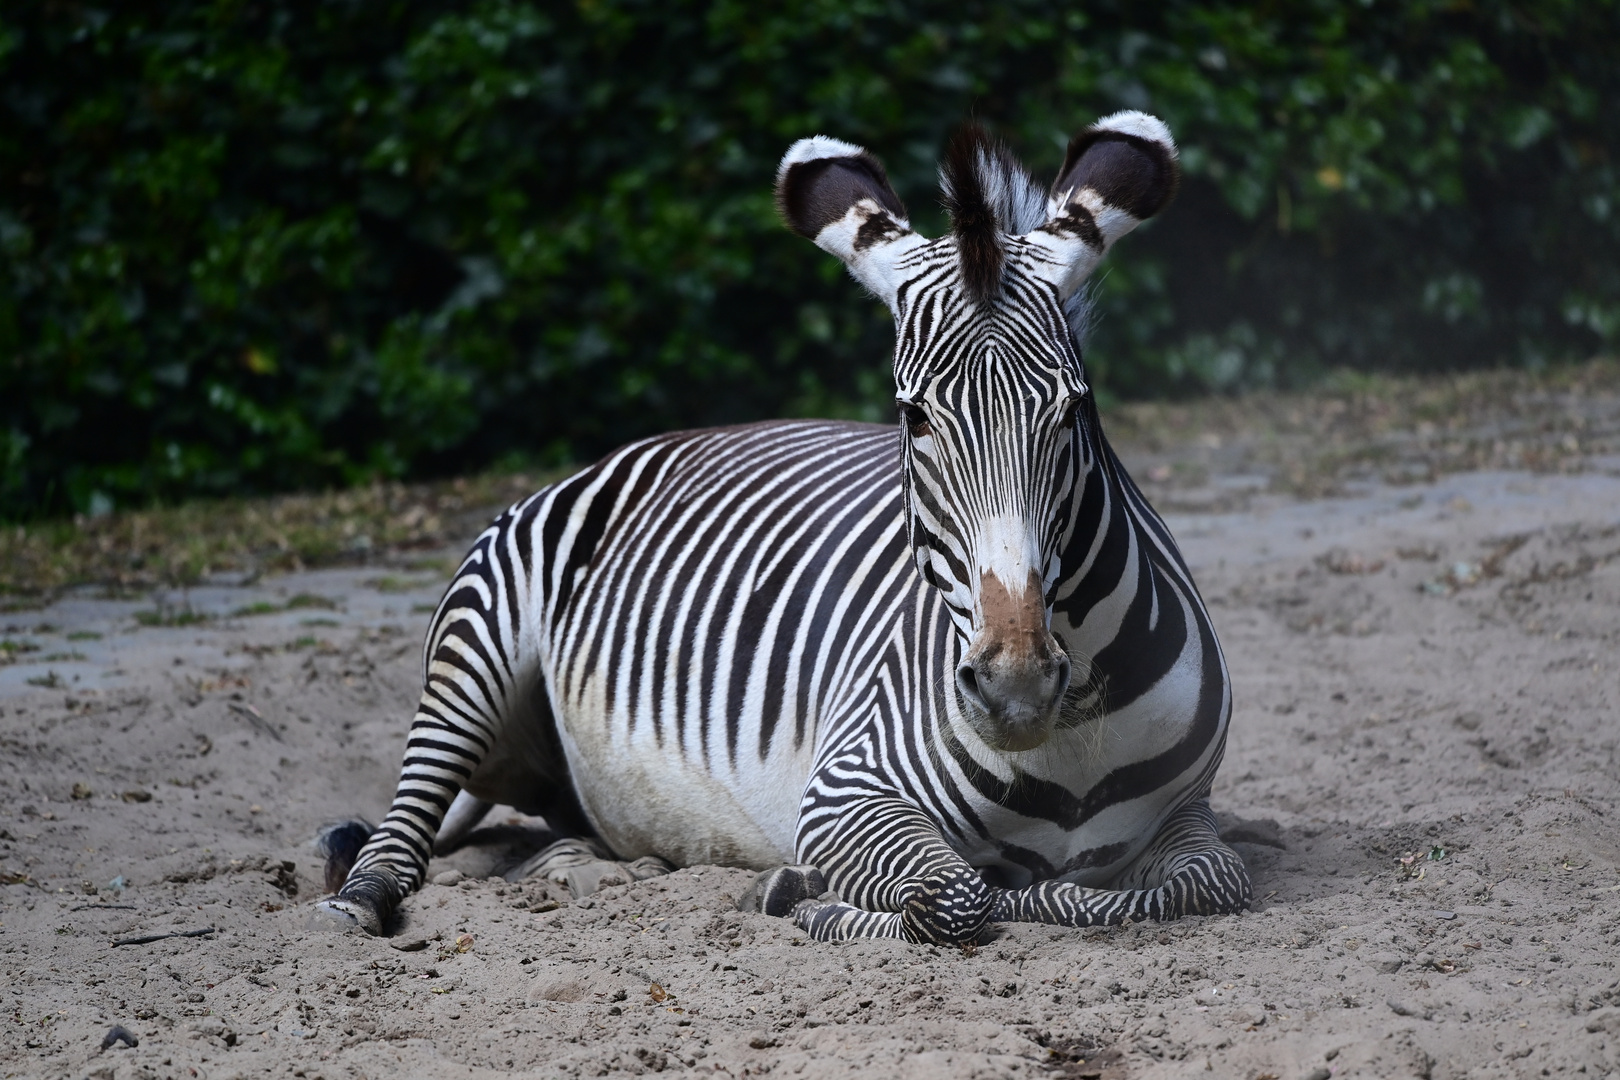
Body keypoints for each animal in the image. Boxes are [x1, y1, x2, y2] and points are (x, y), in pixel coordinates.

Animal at [315, 105, 1250, 939]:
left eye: (1073, 409)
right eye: (913, 417)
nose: (1015, 686)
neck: (1067, 749)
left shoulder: (1190, 810)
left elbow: (1205, 885)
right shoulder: (844, 791)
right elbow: (956, 897)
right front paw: (811, 898)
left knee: (552, 841)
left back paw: (591, 870)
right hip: (472, 655)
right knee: (405, 824)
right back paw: (359, 896)